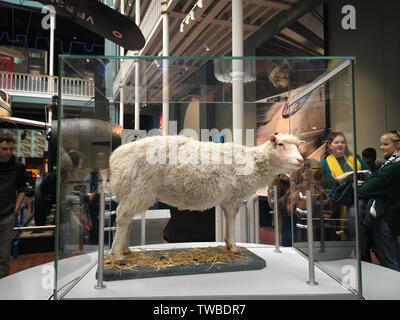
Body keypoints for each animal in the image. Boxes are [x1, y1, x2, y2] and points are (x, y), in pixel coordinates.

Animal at [109, 132, 304, 260]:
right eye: (280, 145)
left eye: (297, 146)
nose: (301, 160)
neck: (253, 162)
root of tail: (115, 157)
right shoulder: (233, 199)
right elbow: (231, 220)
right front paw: (233, 247)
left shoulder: (229, 200)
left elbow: (228, 219)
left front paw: (227, 244)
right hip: (139, 189)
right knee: (123, 217)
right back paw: (117, 255)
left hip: (131, 191)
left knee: (127, 219)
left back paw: (125, 250)